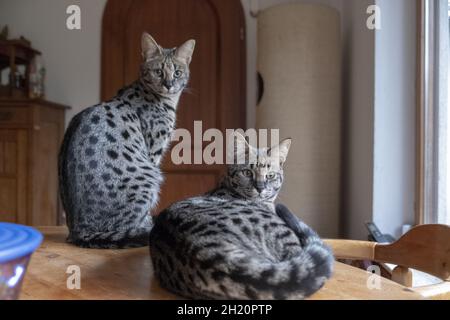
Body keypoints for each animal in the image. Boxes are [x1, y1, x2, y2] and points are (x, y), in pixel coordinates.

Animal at [58, 33, 195, 248]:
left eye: (178, 72)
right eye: (158, 72)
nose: (169, 84)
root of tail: (79, 231)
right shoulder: (153, 152)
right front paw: (148, 223)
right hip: (150, 176)